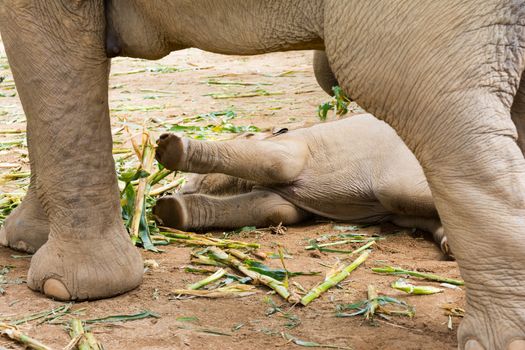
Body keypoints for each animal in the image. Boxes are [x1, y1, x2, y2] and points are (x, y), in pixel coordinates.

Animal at [150, 114, 446, 254]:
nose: (179, 189)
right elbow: (275, 209)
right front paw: (168, 210)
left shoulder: (293, 145)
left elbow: (279, 164)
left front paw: (168, 147)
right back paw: (446, 243)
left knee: (399, 193)